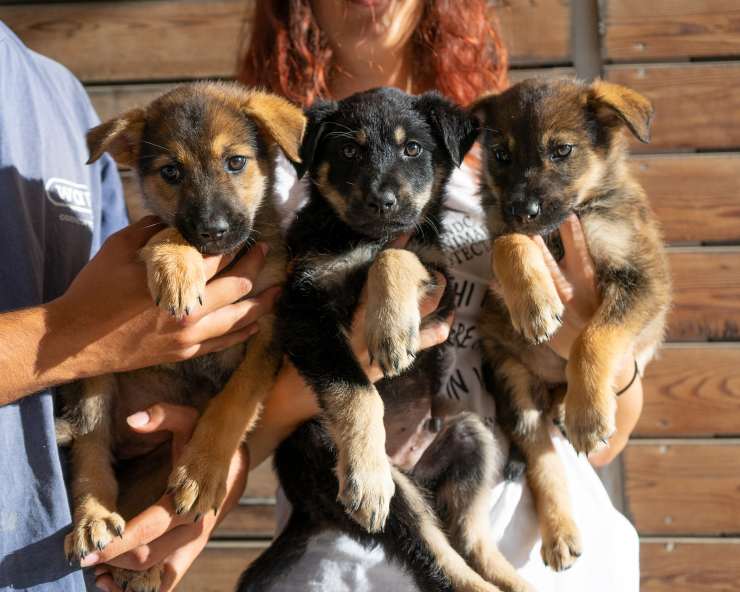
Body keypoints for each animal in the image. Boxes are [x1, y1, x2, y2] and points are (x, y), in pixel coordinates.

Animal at [57, 82, 306, 592]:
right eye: (171, 172)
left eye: (235, 162)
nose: (213, 232)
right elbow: (164, 228)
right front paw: (175, 265)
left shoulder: (268, 331)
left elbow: (232, 404)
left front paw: (203, 473)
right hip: (95, 387)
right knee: (90, 453)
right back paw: (93, 519)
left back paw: (142, 565)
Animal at [238, 88, 532, 592]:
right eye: (348, 151)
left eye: (412, 148)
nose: (383, 201)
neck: (358, 237)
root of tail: (308, 509)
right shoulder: (303, 308)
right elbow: (357, 391)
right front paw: (366, 470)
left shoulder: (439, 282)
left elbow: (396, 255)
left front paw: (390, 327)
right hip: (353, 471)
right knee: (430, 549)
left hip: (471, 437)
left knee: (467, 534)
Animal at [474, 77, 672, 568]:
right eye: (500, 155)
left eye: (561, 150)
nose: (521, 208)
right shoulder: (503, 233)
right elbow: (508, 243)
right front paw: (534, 304)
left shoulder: (642, 280)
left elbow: (592, 338)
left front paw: (587, 414)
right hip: (514, 384)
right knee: (543, 464)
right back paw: (559, 532)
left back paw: (571, 406)